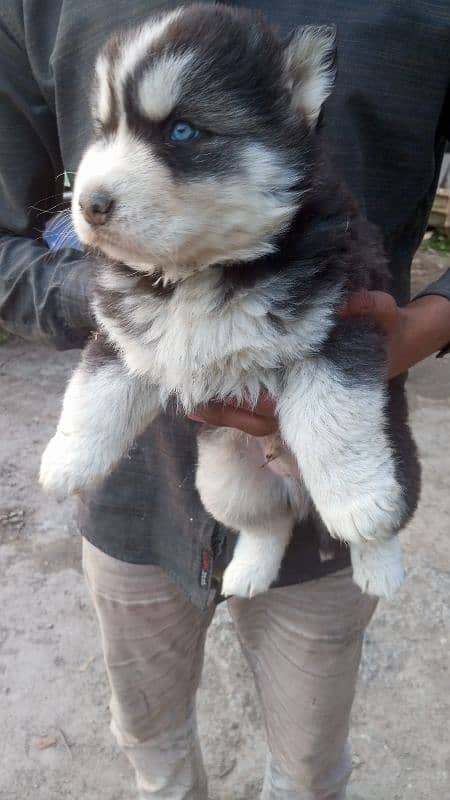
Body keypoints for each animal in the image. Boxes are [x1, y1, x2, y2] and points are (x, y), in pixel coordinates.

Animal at [40, 3, 420, 596]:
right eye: (105, 130)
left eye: (182, 130)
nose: (89, 204)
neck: (203, 273)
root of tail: (294, 485)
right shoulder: (126, 333)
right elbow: (93, 392)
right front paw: (65, 460)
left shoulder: (341, 321)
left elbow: (331, 419)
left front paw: (358, 503)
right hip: (224, 480)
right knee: (270, 524)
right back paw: (247, 572)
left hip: (401, 455)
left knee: (382, 517)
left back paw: (379, 566)